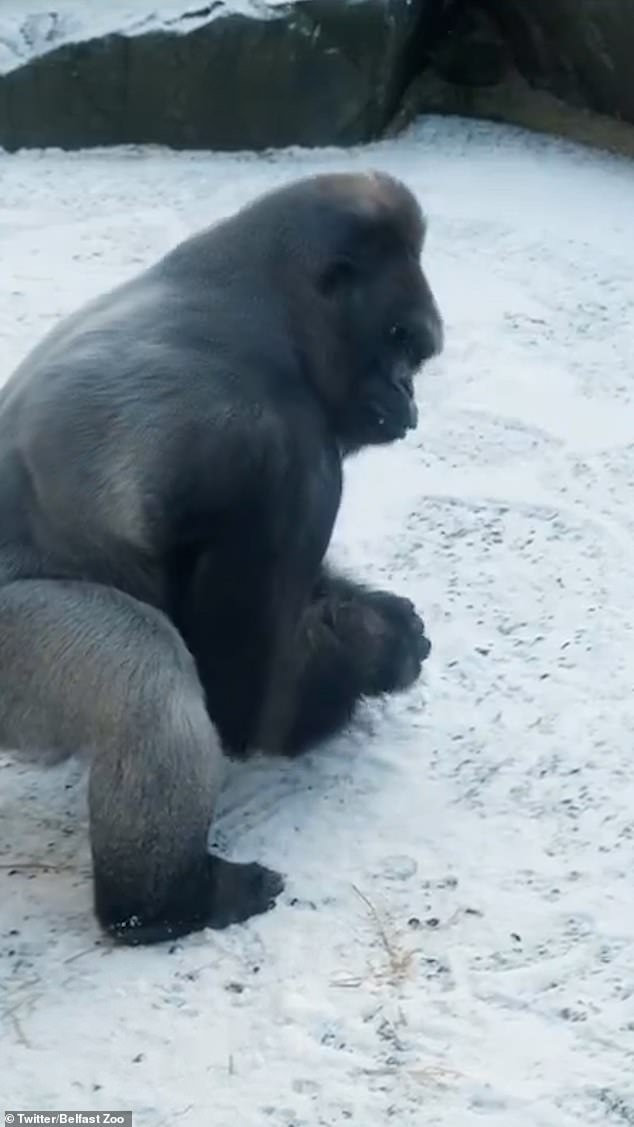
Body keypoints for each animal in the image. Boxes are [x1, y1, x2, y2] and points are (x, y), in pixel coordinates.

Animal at [0, 169, 443, 942]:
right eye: (396, 339)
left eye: (413, 355)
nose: (406, 393)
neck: (265, 301)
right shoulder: (296, 455)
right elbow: (245, 700)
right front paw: (382, 648)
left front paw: (381, 617)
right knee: (143, 672)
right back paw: (167, 904)